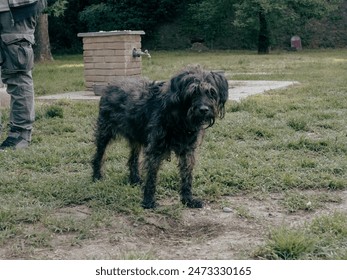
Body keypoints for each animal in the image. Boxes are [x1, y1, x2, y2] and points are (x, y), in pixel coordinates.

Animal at [91, 65, 230, 208]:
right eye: (193, 92)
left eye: (211, 92)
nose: (204, 109)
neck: (180, 117)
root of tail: (112, 84)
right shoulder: (155, 148)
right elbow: (152, 176)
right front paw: (148, 201)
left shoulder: (188, 150)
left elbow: (187, 175)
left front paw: (188, 199)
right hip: (105, 132)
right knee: (99, 155)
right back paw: (97, 176)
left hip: (136, 137)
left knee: (133, 159)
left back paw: (135, 179)